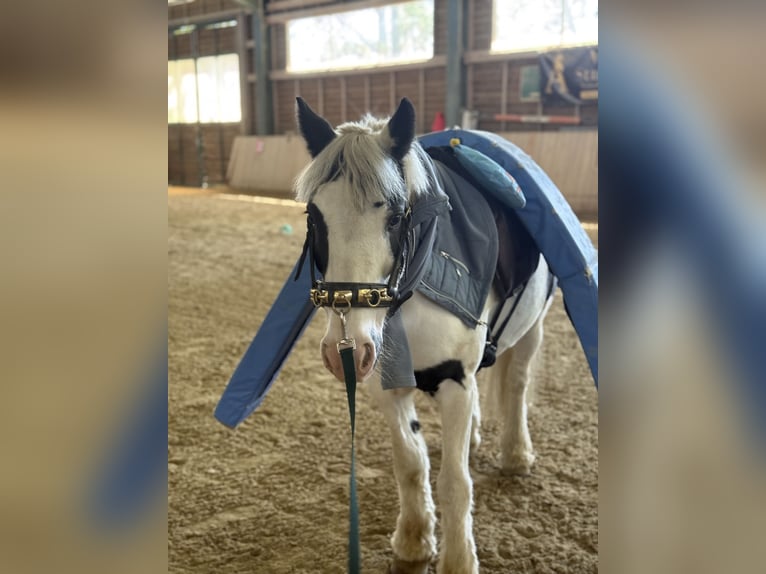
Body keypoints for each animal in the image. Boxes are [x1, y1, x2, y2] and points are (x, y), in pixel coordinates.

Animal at [294, 97, 555, 574]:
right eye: (313, 216)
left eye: (397, 217)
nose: (344, 346)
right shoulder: (385, 384)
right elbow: (411, 464)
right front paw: (414, 541)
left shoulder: (455, 380)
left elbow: (455, 480)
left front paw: (458, 559)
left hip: (533, 328)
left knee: (516, 384)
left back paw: (516, 454)